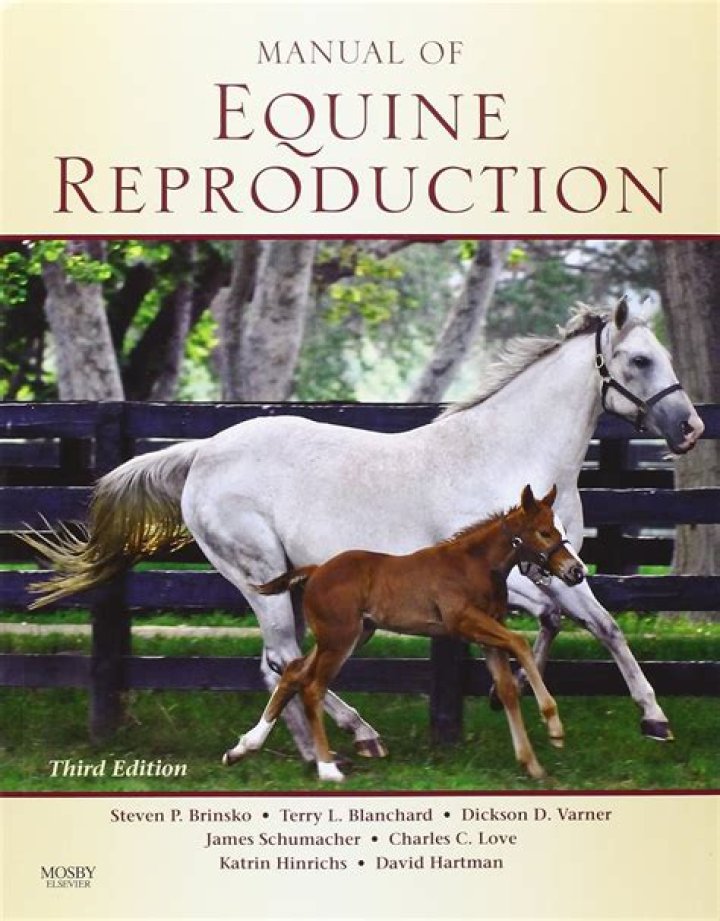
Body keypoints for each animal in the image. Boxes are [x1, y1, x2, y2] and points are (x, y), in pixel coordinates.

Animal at [225, 484, 586, 782]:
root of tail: (315, 571)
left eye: (562, 530)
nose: (576, 571)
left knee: (294, 672)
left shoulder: (486, 634)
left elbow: (507, 688)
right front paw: (554, 727)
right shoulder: (463, 622)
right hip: (340, 639)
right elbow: (520, 642)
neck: (475, 565)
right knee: (312, 686)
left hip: (350, 635)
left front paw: (532, 765)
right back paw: (327, 768)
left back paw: (242, 748)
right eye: (544, 532)